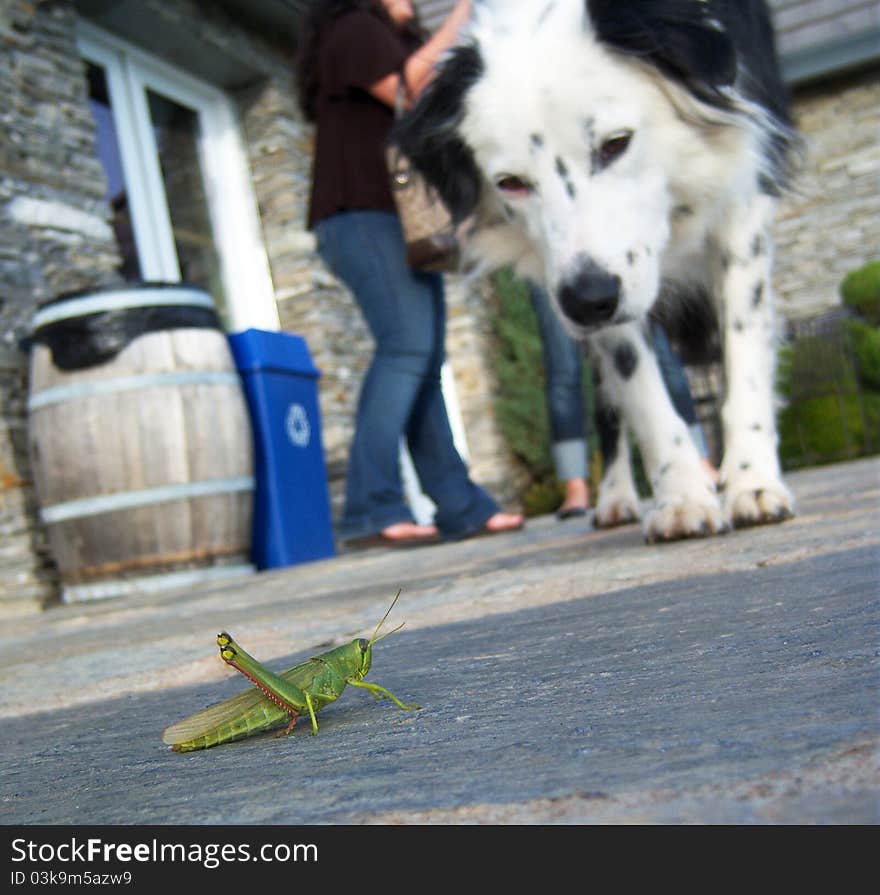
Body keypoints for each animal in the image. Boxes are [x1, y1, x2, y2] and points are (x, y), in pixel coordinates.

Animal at [396, 0, 800, 540]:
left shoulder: (742, 195)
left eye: (615, 144)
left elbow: (744, 354)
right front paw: (682, 496)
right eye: (511, 183)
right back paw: (615, 498)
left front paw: (752, 482)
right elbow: (638, 387)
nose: (589, 301)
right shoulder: (578, 284)